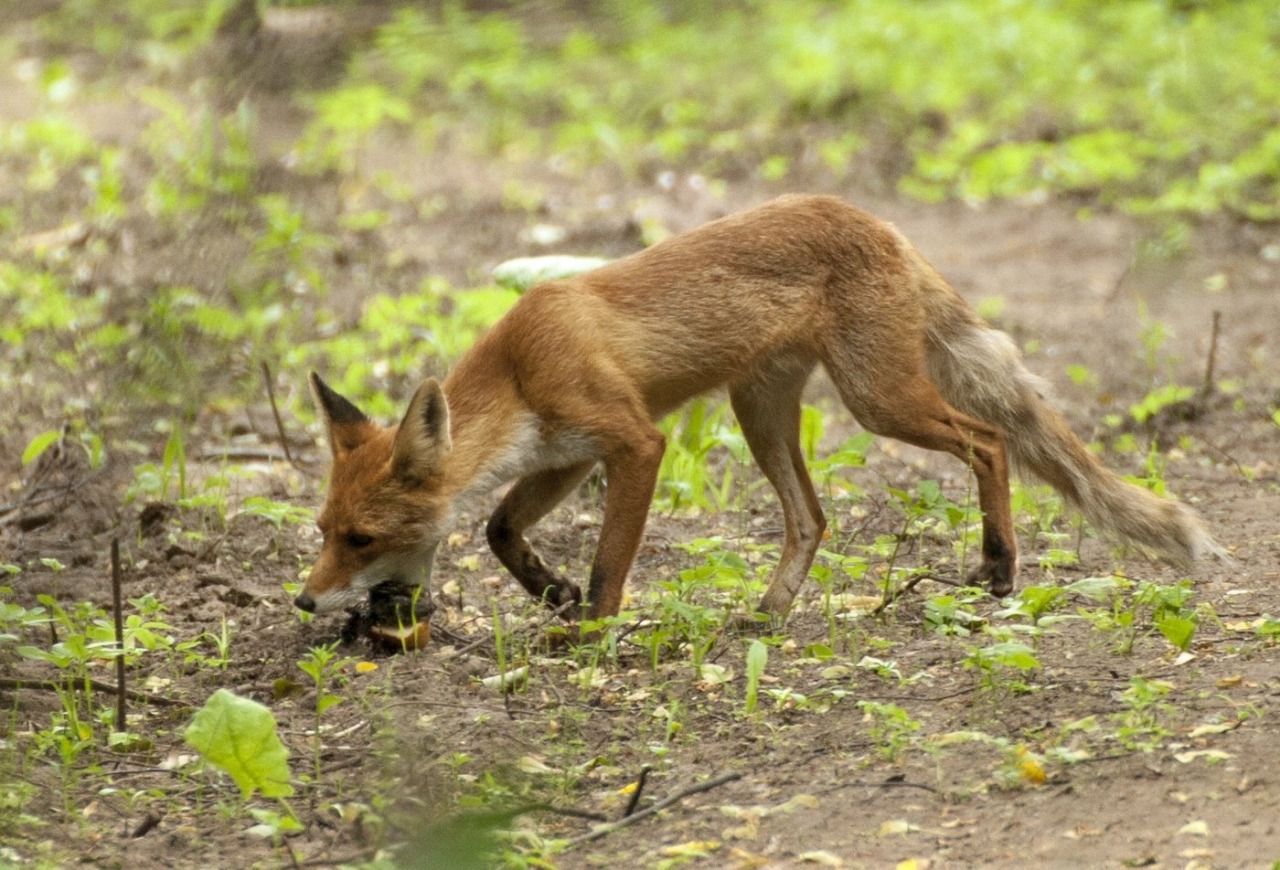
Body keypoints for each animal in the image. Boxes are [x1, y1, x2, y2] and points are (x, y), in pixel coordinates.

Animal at [294, 193, 1223, 621]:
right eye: (324, 532)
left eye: (361, 539)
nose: (304, 601)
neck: (520, 369)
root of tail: (880, 222)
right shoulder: (567, 455)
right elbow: (495, 530)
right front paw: (550, 593)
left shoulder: (633, 443)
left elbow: (609, 565)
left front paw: (587, 627)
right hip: (761, 412)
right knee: (812, 516)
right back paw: (771, 614)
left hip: (878, 400)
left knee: (990, 438)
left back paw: (998, 564)